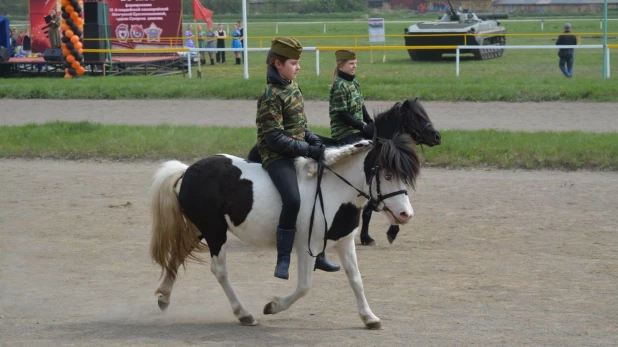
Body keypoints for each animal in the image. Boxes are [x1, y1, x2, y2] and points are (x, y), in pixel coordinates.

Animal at [149, 134, 418, 328]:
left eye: (405, 176)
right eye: (387, 174)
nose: (406, 215)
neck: (333, 190)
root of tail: (188, 171)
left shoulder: (344, 242)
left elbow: (356, 279)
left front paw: (369, 317)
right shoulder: (308, 247)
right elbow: (304, 286)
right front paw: (273, 306)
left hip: (201, 228)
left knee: (179, 253)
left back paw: (164, 297)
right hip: (215, 231)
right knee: (219, 270)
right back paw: (244, 314)